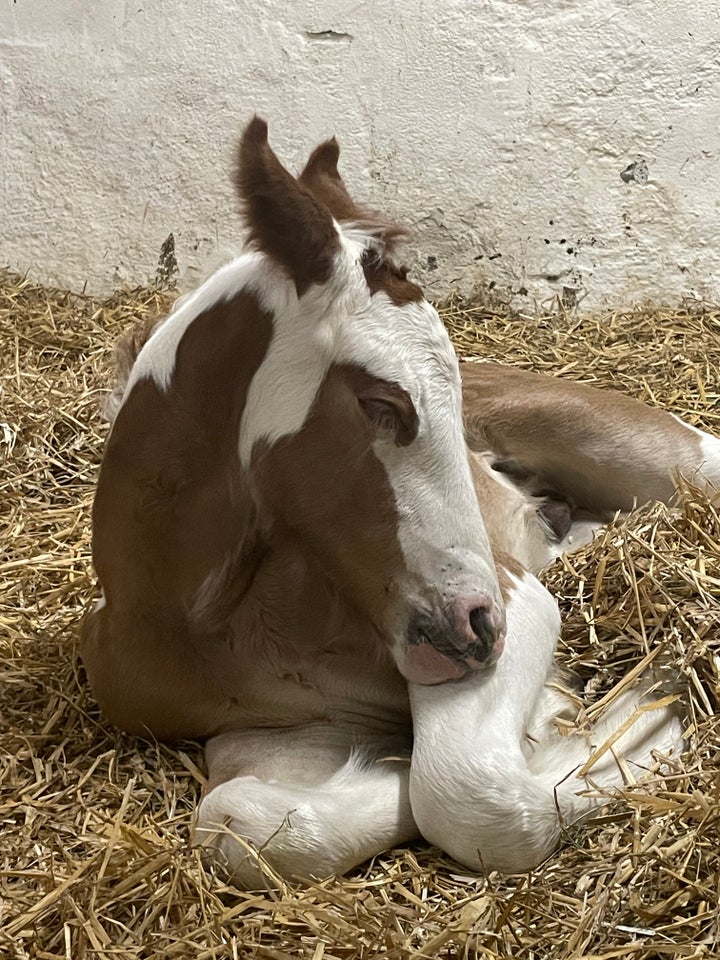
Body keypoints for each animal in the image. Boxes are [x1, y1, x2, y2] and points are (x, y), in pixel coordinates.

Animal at [81, 116, 720, 888]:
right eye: (382, 403)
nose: (479, 626)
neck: (200, 613)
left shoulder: (517, 598)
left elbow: (464, 792)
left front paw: (648, 705)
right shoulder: (282, 727)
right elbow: (243, 824)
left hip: (662, 460)